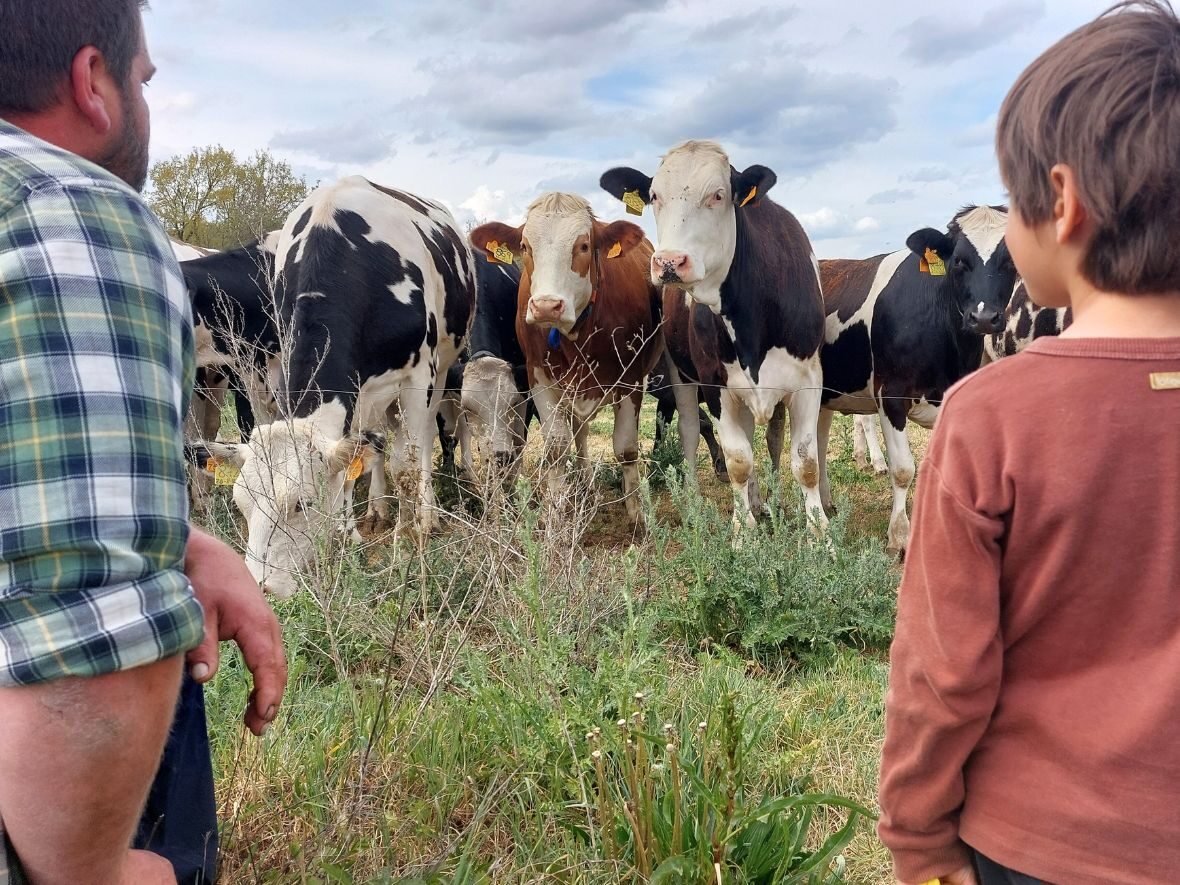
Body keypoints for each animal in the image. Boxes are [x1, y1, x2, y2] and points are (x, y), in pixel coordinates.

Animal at [202, 174, 474, 597]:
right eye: (240, 503)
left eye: (301, 504)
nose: (260, 588)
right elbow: (350, 467)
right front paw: (349, 533)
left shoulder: (419, 376)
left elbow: (408, 468)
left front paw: (407, 539)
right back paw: (377, 507)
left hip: (442, 368)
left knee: (423, 441)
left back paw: (425, 514)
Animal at [467, 193, 660, 526]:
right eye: (525, 246)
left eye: (583, 245)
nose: (546, 306)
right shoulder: (538, 379)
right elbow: (556, 448)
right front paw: (555, 514)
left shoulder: (632, 380)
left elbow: (626, 449)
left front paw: (636, 516)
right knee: (578, 433)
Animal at [816, 207, 1019, 554]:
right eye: (959, 261)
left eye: (1009, 261)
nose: (983, 317)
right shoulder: (891, 395)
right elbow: (903, 470)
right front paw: (900, 536)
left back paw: (828, 503)